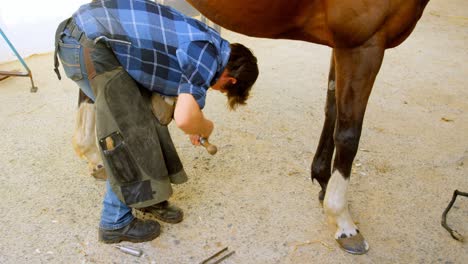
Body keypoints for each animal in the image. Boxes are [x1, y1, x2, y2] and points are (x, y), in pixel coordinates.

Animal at [186, 0, 432, 256]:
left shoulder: (340, 46)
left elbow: (332, 110)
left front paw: (324, 181)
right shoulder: (363, 46)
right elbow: (348, 134)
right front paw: (343, 223)